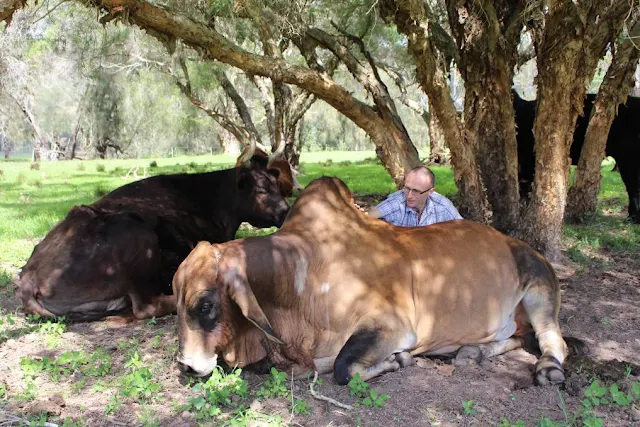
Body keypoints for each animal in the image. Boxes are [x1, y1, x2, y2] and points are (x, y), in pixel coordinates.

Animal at [13, 155, 288, 322]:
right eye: (261, 188)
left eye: (277, 185)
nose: (286, 210)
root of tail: (29, 277)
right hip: (137, 236)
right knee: (147, 306)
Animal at [172, 177, 584, 388]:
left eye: (205, 304)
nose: (186, 367)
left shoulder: (393, 327)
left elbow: (344, 368)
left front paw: (398, 360)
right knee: (518, 337)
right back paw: (471, 352)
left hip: (538, 288)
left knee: (553, 340)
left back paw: (547, 369)